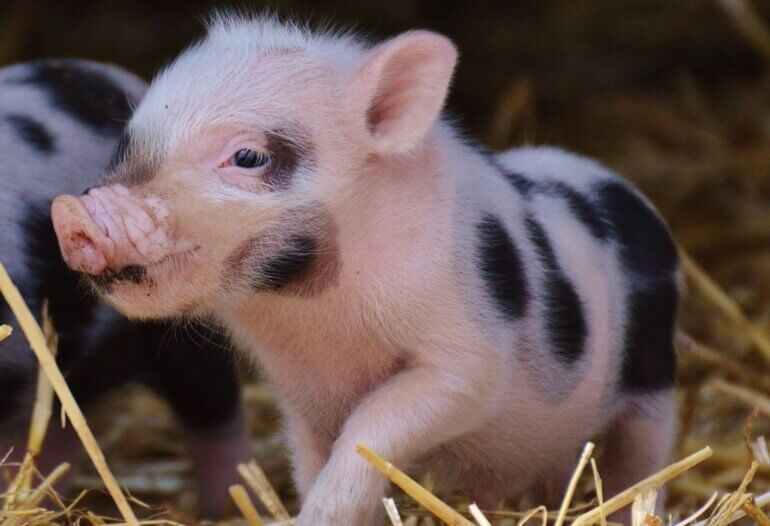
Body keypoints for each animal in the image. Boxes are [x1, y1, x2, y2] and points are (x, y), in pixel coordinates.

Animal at [51, 15, 680, 525]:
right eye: (127, 142)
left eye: (249, 156)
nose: (75, 216)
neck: (315, 319)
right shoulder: (298, 393)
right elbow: (312, 462)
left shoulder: (465, 357)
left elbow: (373, 428)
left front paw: (319, 513)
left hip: (653, 379)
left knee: (638, 469)